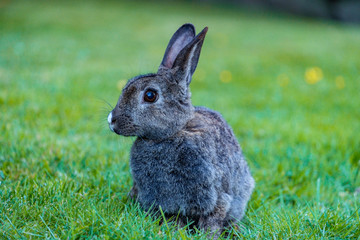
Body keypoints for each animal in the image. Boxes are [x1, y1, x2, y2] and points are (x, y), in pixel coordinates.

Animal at [107, 23, 256, 235]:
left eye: (150, 95)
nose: (112, 120)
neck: (171, 134)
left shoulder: (217, 198)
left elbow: (212, 220)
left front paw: (208, 236)